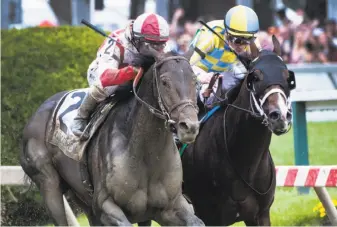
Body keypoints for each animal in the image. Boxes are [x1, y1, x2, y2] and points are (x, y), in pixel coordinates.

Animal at [21, 48, 205, 225]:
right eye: (165, 81)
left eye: (195, 81)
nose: (189, 127)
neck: (146, 155)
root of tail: (38, 112)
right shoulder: (105, 207)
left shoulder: (170, 207)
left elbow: (197, 222)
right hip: (48, 182)